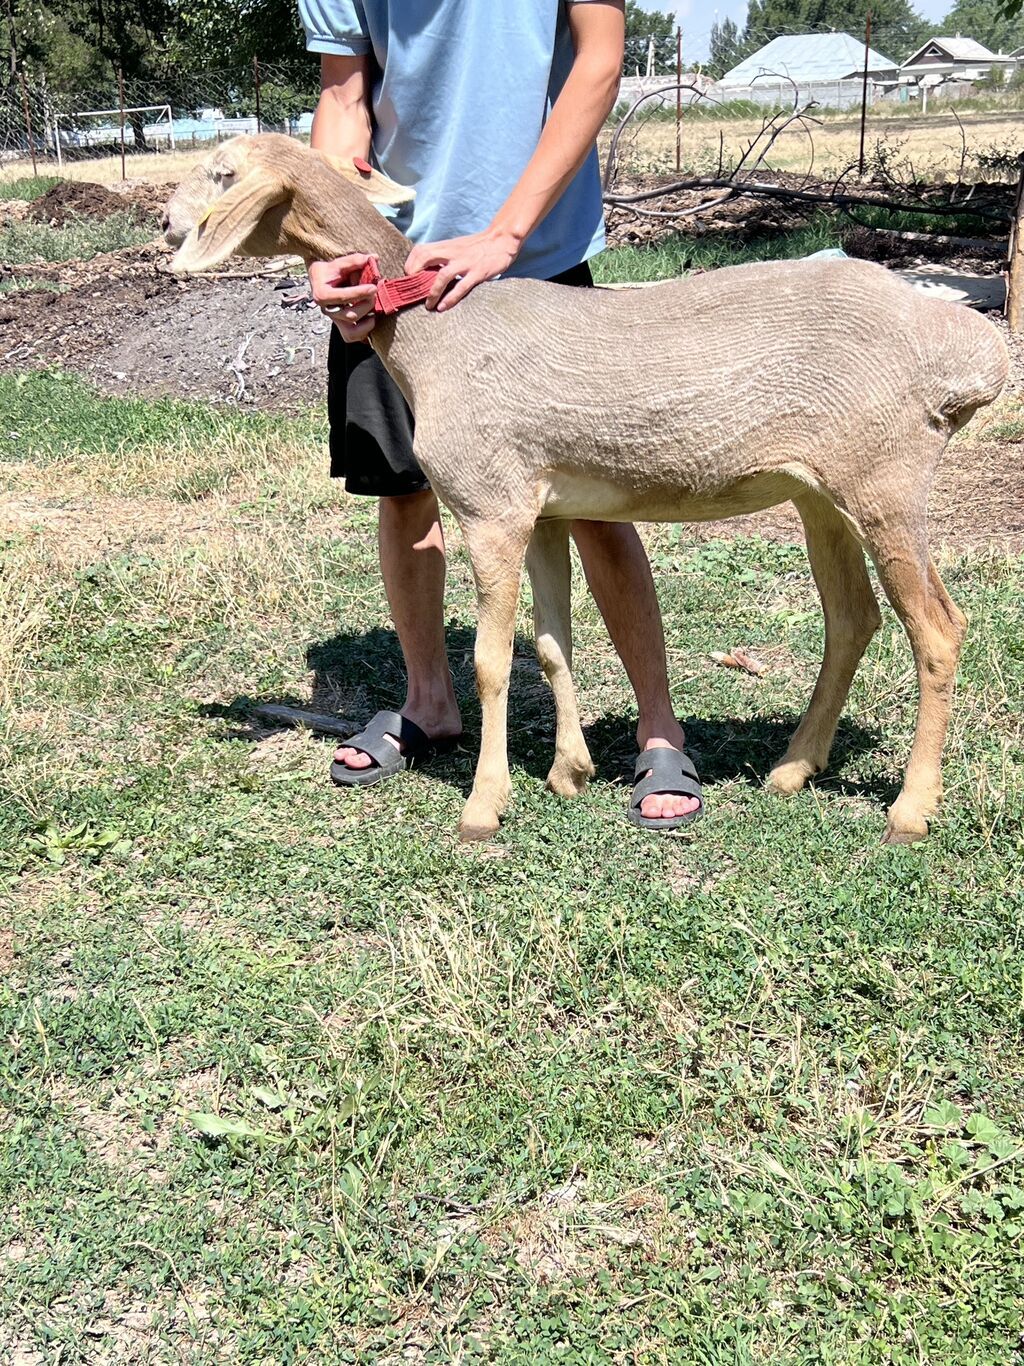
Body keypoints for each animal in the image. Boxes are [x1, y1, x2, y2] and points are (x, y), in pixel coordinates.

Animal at [163, 134, 1009, 845]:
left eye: (223, 172)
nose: (165, 223)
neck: (436, 336)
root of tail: (972, 350)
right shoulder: (542, 508)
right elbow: (550, 645)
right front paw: (568, 772)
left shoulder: (490, 504)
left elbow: (493, 662)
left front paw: (484, 806)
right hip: (821, 493)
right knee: (853, 619)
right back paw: (793, 769)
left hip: (886, 478)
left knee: (939, 629)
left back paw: (910, 809)